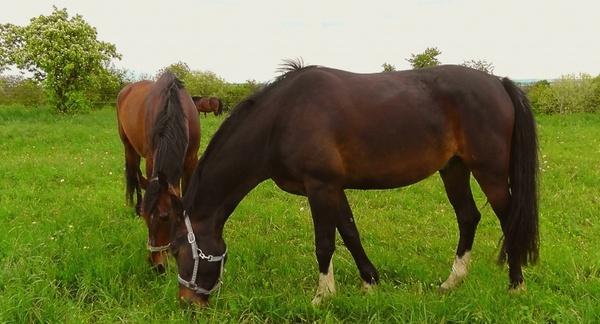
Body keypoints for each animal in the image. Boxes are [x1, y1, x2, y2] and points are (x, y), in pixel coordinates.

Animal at [116, 72, 200, 272]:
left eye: (164, 217)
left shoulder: (192, 161)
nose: (157, 266)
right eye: (146, 218)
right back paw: (134, 205)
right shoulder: (151, 159)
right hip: (128, 146)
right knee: (133, 176)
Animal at [159, 61, 540, 306]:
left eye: (177, 248)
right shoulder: (331, 188)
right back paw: (451, 282)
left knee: (509, 219)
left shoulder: (320, 186)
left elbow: (325, 243)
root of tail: (499, 83)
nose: (187, 302)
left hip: (489, 171)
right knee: (468, 217)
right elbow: (350, 233)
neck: (283, 117)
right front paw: (370, 282)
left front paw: (322, 296)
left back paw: (516, 286)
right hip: (454, 169)